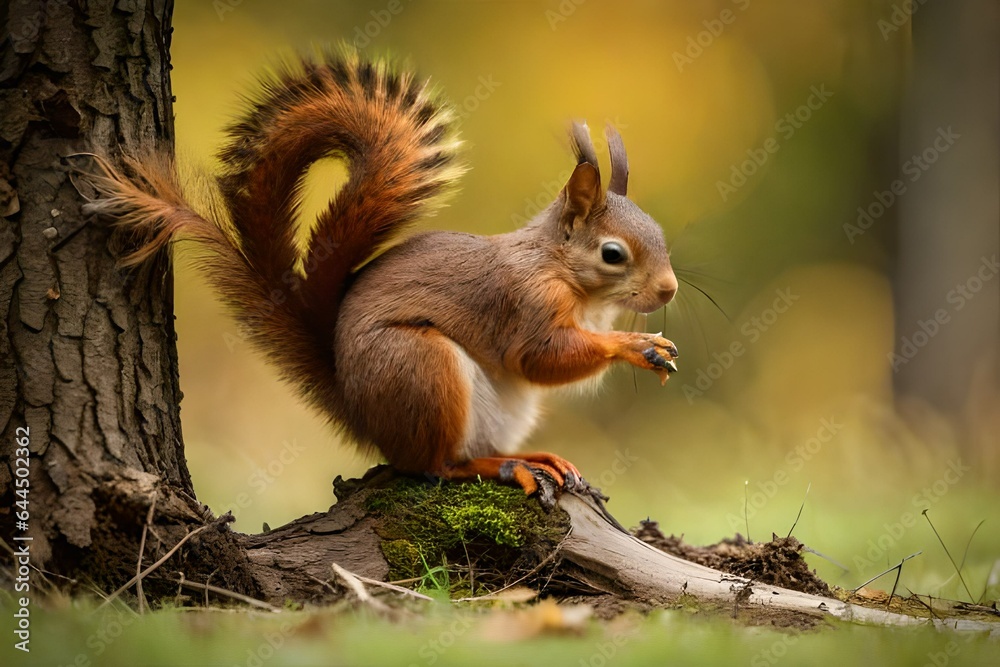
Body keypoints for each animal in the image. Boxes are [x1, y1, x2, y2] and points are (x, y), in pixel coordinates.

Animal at [84, 50, 679, 503]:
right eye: (612, 254)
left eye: (659, 232)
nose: (669, 289)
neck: (565, 273)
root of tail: (359, 411)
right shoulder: (523, 303)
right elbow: (539, 357)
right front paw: (634, 346)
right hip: (420, 368)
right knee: (436, 465)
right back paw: (497, 468)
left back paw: (530, 456)